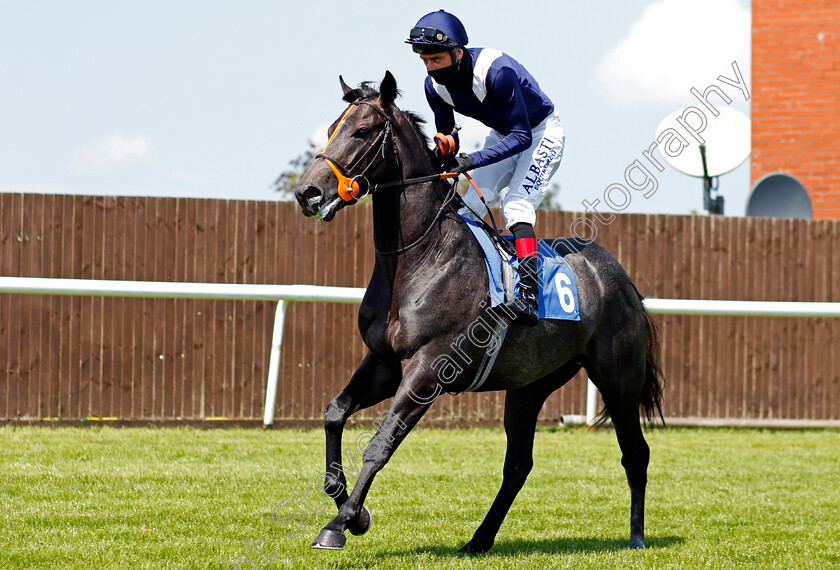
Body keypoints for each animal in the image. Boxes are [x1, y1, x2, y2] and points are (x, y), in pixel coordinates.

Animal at [292, 72, 668, 556]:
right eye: (330, 130)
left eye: (362, 131)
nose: (308, 192)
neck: (420, 257)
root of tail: (621, 279)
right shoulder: (385, 363)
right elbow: (335, 412)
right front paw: (351, 508)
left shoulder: (428, 369)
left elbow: (380, 444)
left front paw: (340, 523)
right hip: (529, 386)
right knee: (518, 465)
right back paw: (480, 538)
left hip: (619, 378)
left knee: (635, 452)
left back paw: (636, 536)